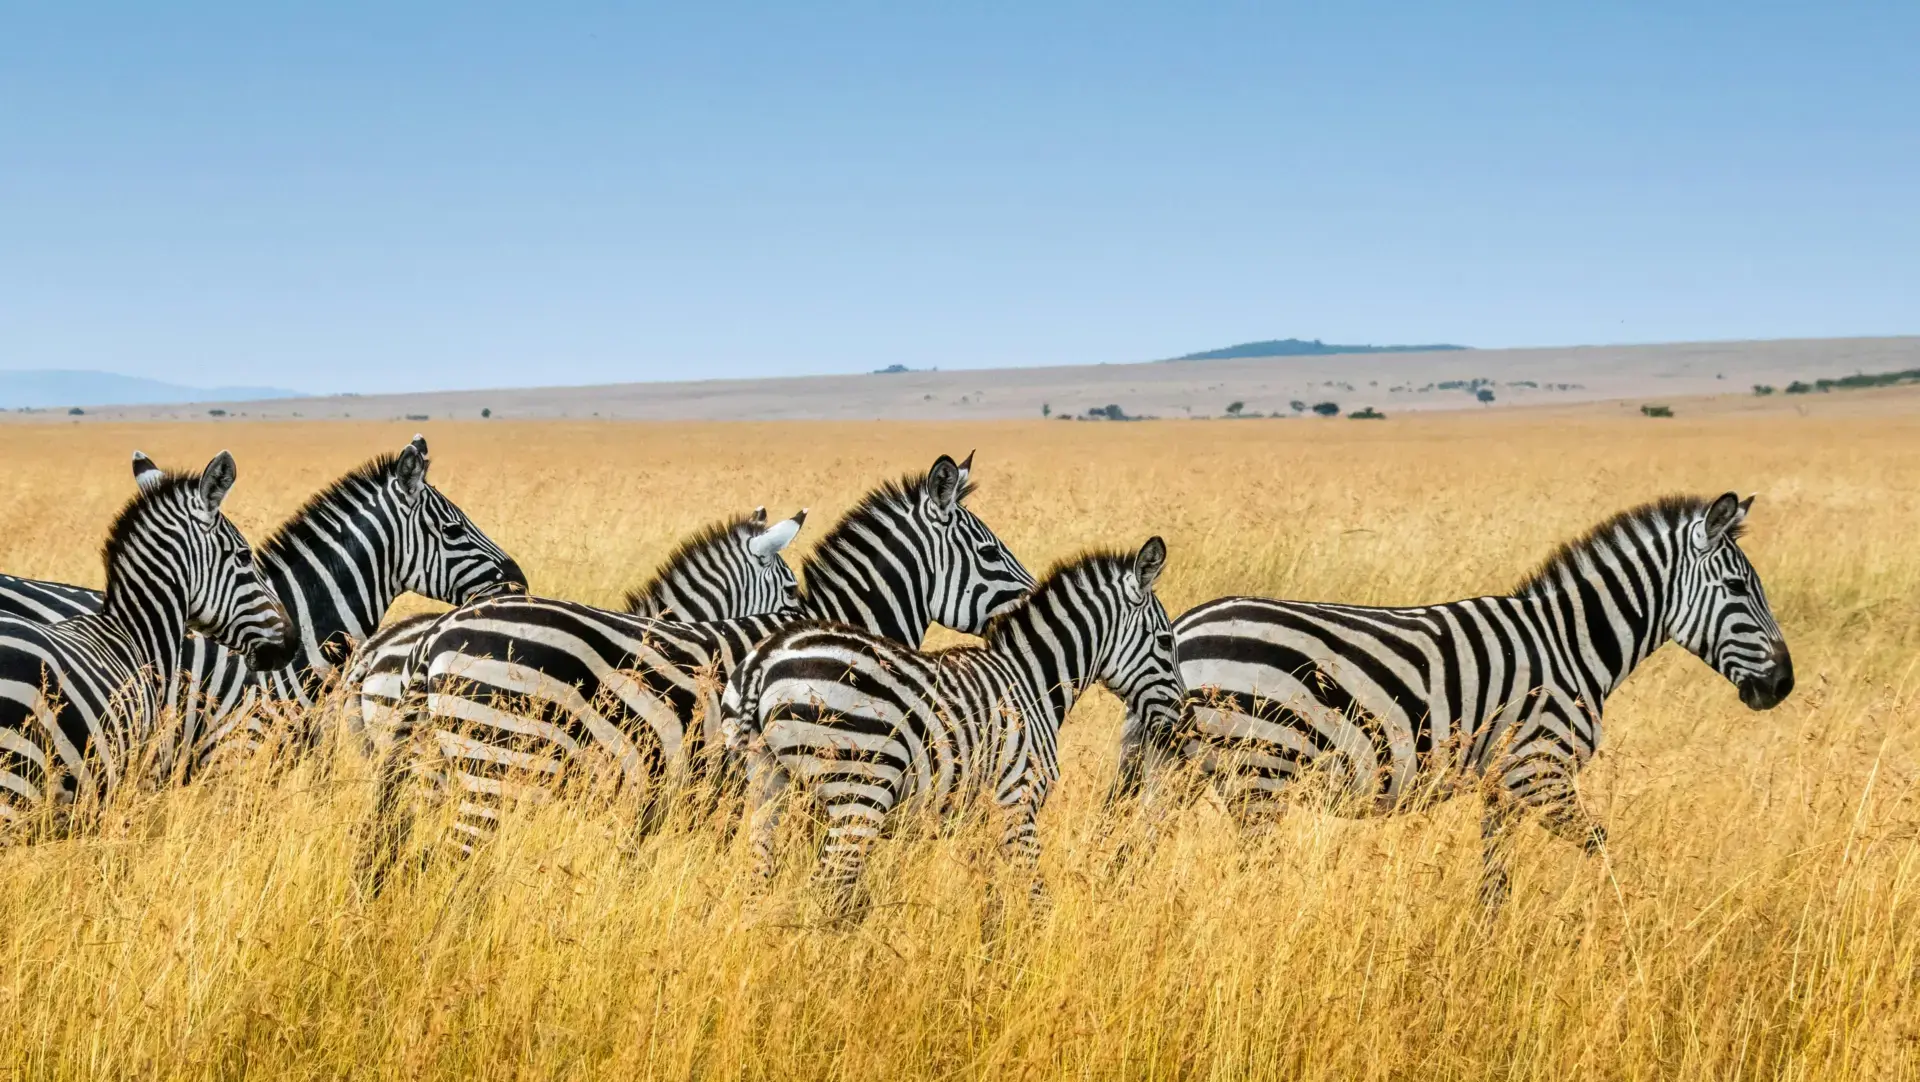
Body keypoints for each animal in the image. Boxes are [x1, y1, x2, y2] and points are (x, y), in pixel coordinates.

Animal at [725, 538, 1179, 917]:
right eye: (1165, 641)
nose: (1179, 722)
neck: (1032, 682)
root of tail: (765, 658)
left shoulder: (979, 816)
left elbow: (991, 896)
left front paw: (990, 949)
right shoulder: (1018, 801)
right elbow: (1034, 894)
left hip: (767, 782)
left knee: (758, 880)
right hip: (860, 790)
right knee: (826, 886)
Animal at [1120, 492, 1794, 905]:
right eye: (1739, 588)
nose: (1783, 685)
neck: (1572, 643)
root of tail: (1182, 628)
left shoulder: (1502, 783)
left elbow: (1495, 882)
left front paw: (1486, 952)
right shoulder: (1539, 771)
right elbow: (1603, 848)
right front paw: (1625, 928)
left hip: (1175, 770)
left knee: (1130, 854)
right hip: (1260, 770)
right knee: (1248, 874)